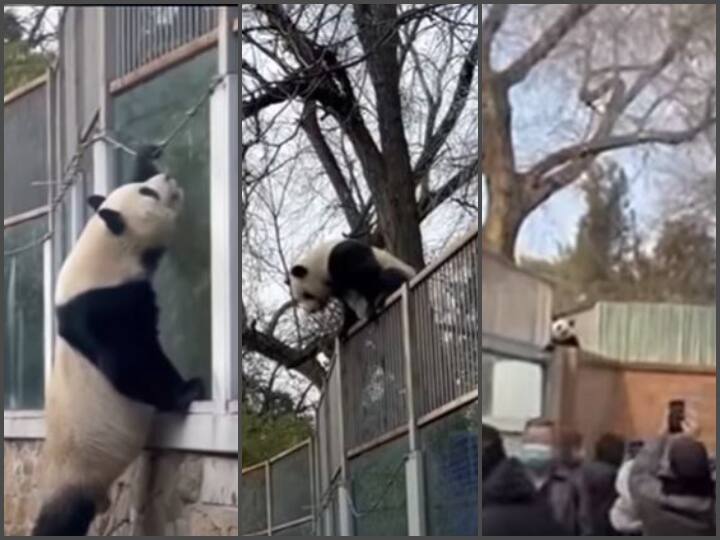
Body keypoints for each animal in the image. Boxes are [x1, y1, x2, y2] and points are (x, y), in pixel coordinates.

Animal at [32, 173, 205, 536]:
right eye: (147, 192)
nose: (168, 176)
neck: (105, 246)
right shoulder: (104, 304)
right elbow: (128, 363)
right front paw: (188, 390)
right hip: (76, 470)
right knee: (61, 519)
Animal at [288, 239, 417, 338]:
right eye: (299, 299)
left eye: (307, 294)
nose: (310, 310)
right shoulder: (339, 287)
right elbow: (347, 306)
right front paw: (343, 329)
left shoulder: (343, 254)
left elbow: (367, 273)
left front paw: (372, 306)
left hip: (401, 270)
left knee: (389, 275)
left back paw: (383, 295)